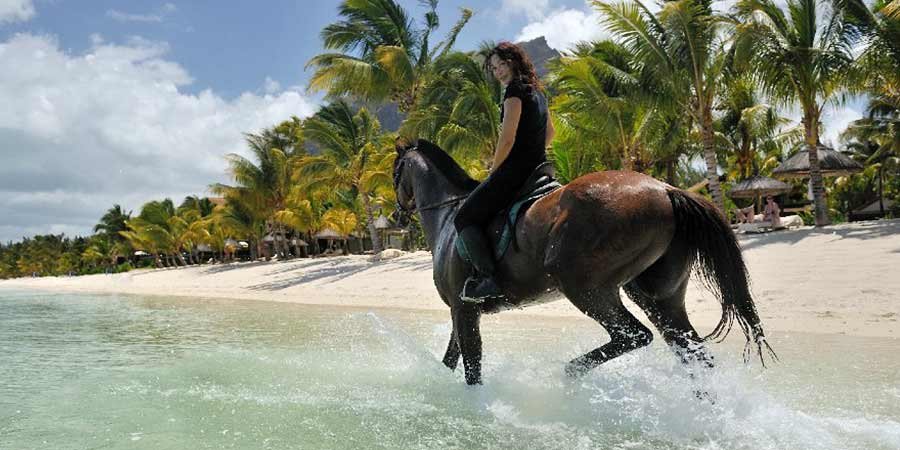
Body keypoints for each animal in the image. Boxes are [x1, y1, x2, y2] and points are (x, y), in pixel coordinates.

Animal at [392, 140, 775, 385]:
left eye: (395, 172)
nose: (397, 214)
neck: (448, 216)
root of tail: (667, 189)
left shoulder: (464, 309)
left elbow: (471, 365)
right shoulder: (461, 311)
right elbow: (451, 359)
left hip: (585, 288)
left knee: (634, 336)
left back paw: (570, 373)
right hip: (658, 297)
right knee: (692, 353)